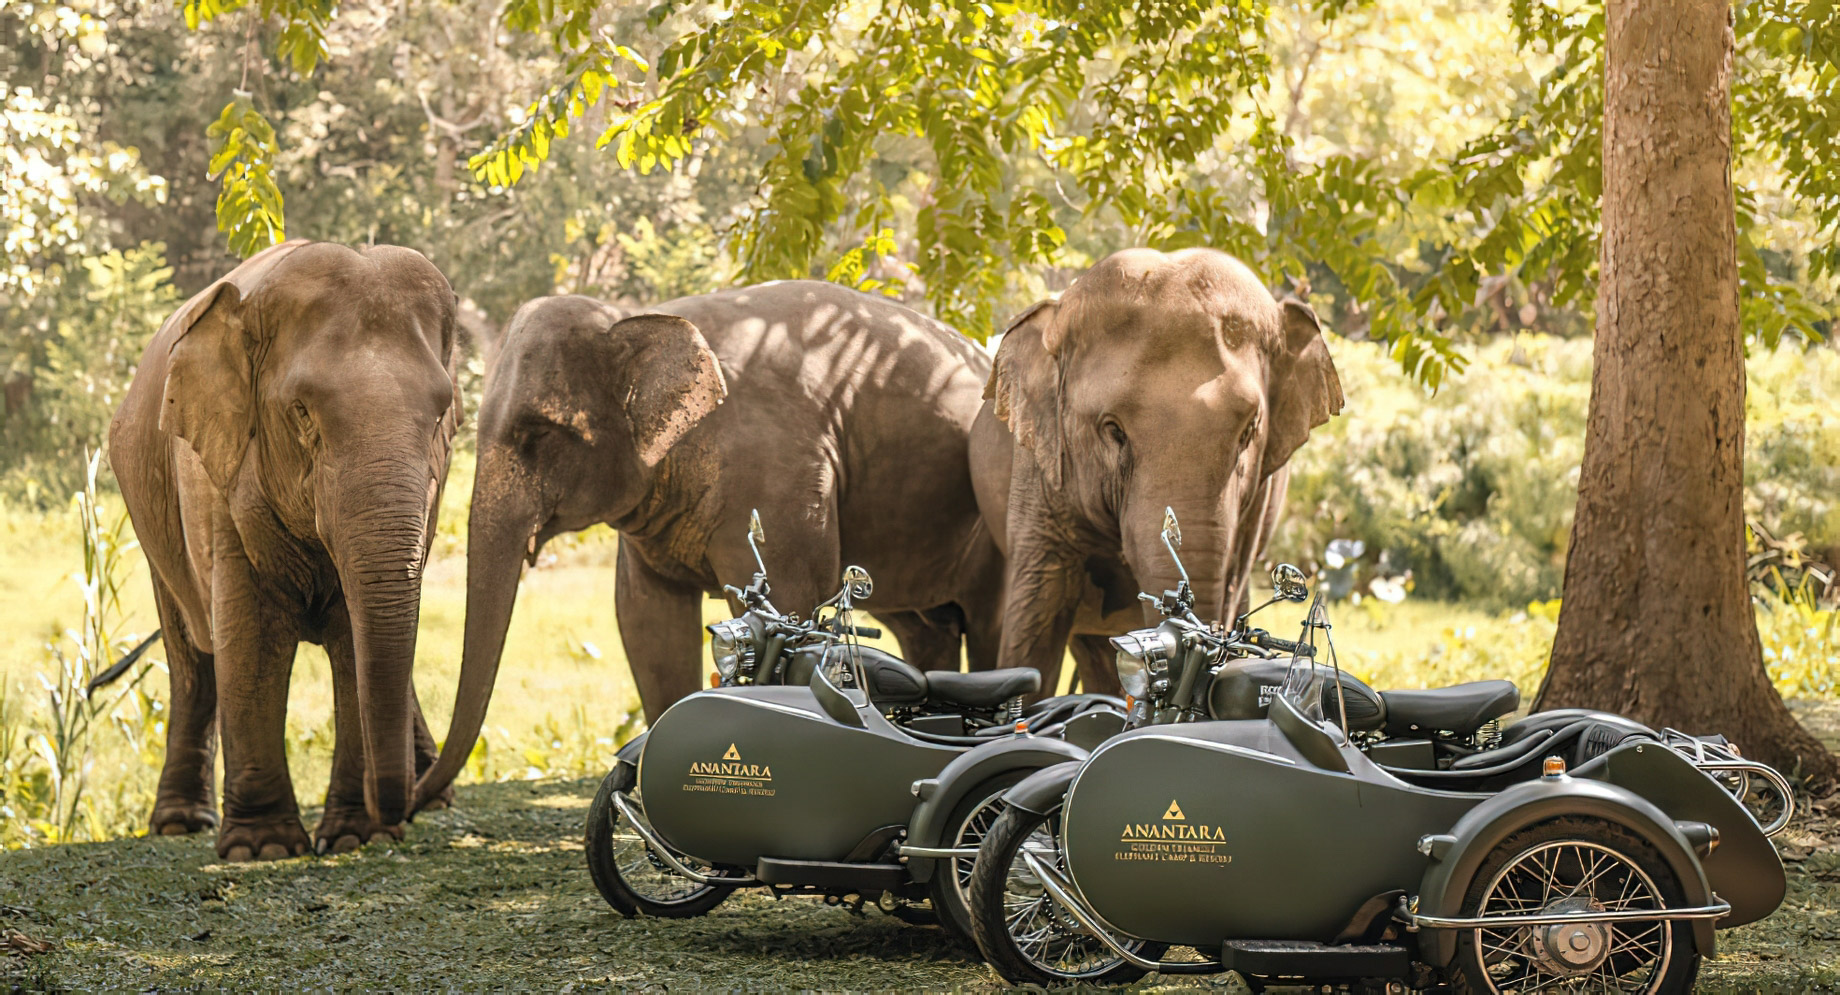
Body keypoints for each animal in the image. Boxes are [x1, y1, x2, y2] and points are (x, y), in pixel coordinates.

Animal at [108, 240, 463, 860]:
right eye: (301, 411)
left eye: (442, 412)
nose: (394, 811)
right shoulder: (211, 474)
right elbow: (249, 635)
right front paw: (265, 849)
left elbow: (356, 634)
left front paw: (352, 837)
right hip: (150, 511)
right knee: (192, 656)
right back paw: (179, 824)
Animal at [411, 281, 1005, 808]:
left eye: (537, 436)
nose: (421, 799)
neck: (642, 314)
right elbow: (645, 621)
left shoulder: (780, 477)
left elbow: (789, 596)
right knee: (925, 627)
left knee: (988, 620)